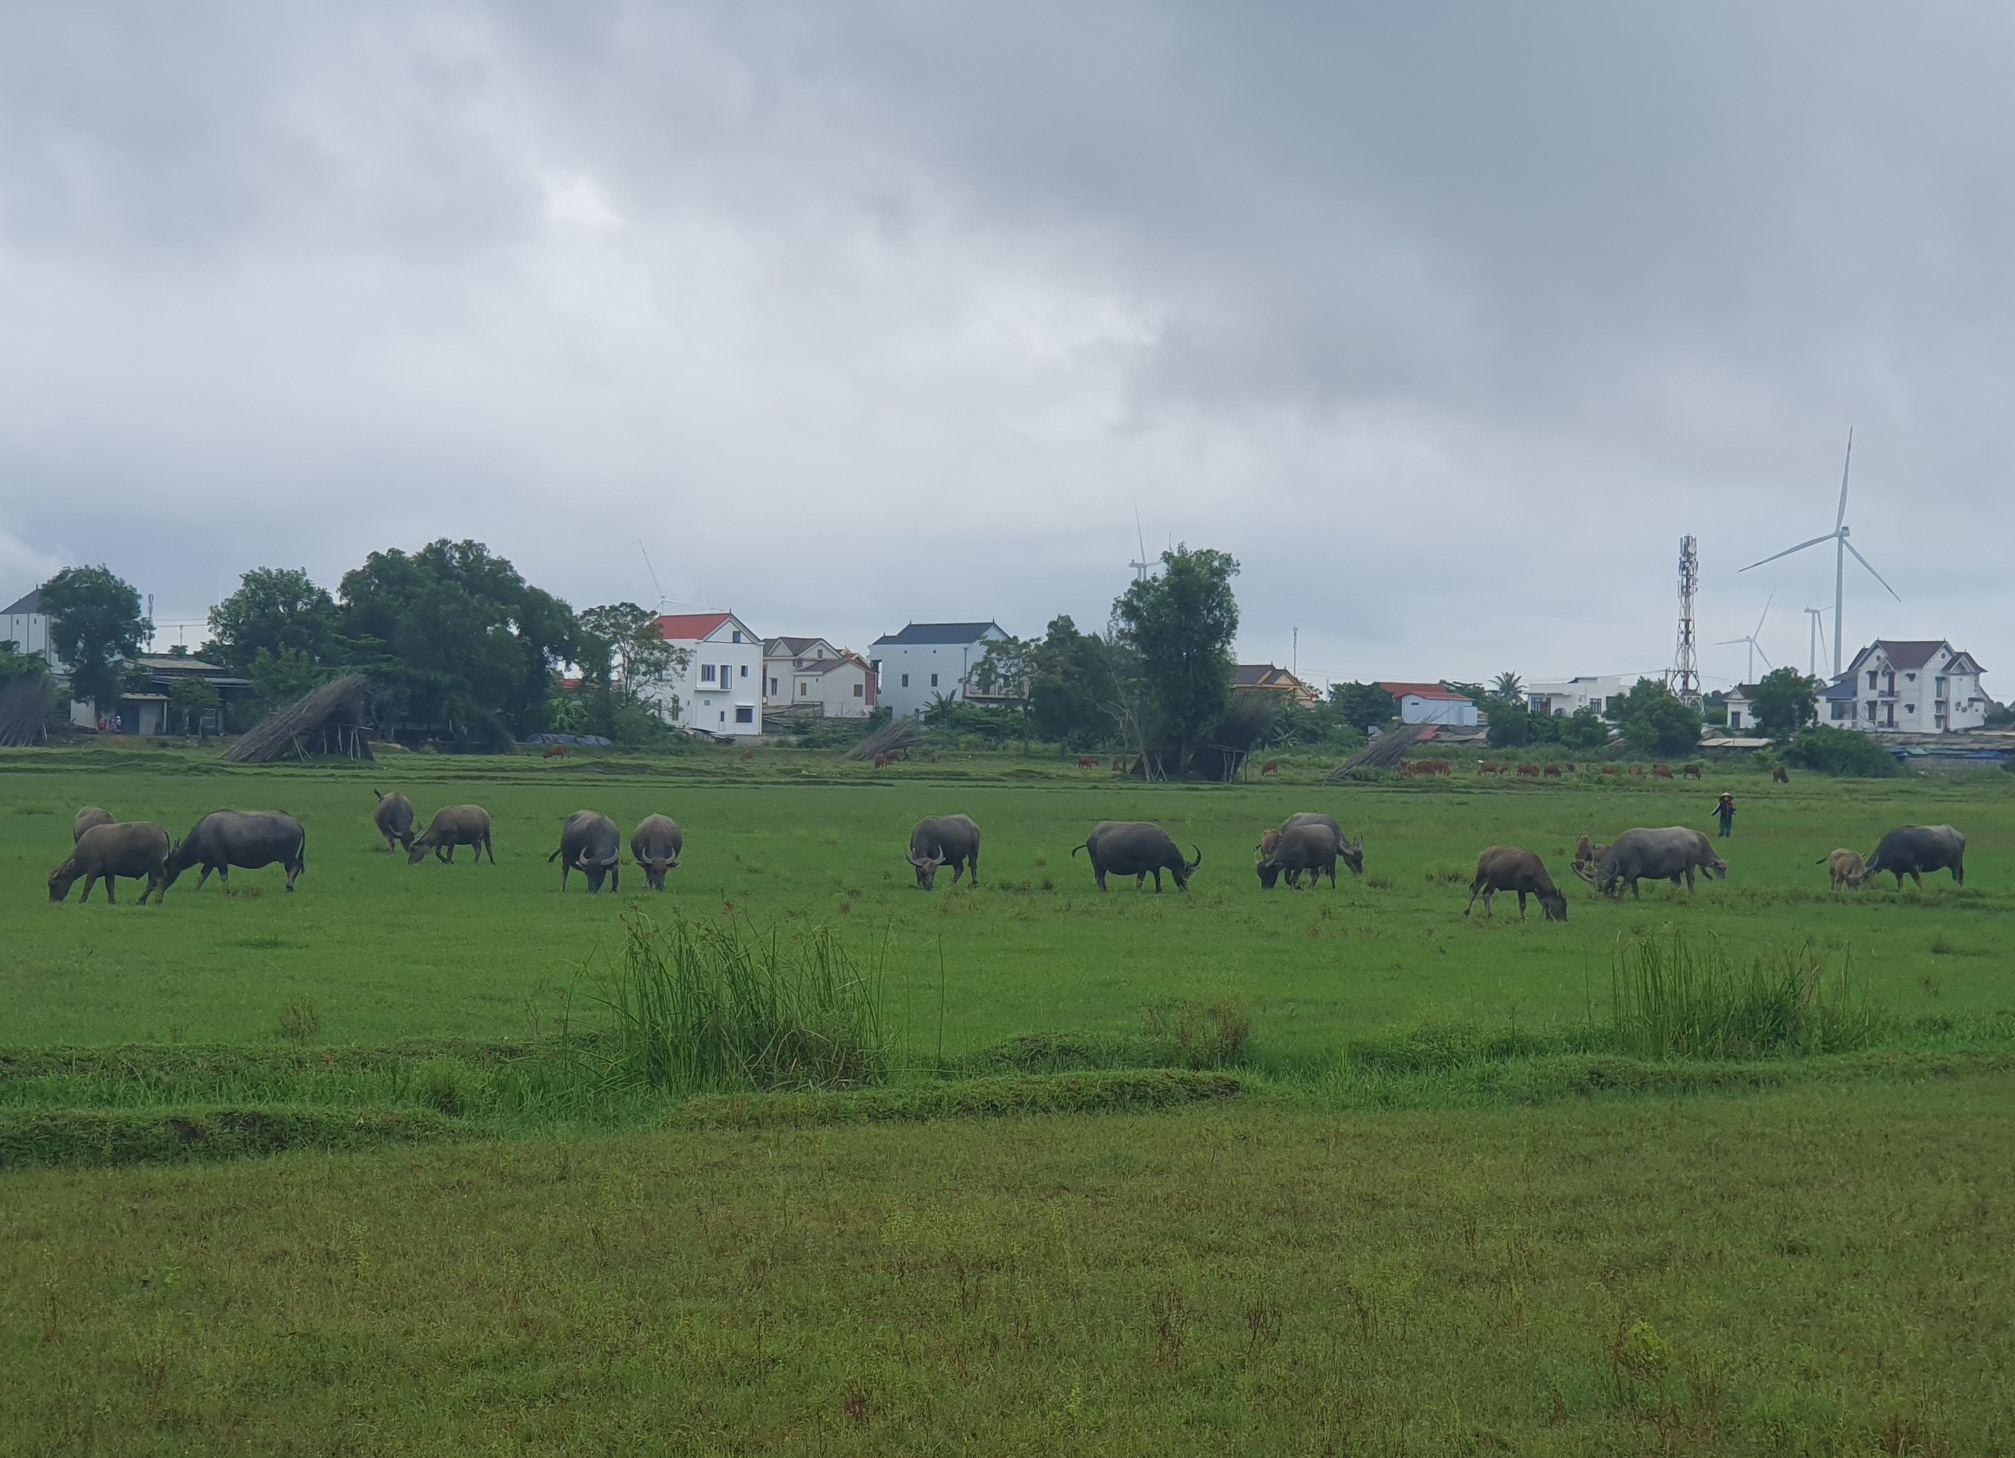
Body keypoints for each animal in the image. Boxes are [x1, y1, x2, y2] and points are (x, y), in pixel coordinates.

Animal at [165, 809, 308, 890]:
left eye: (167, 865)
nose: (162, 884)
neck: (203, 833)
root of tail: (296, 822)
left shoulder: (220, 862)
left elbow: (224, 877)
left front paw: (227, 891)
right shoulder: (210, 863)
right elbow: (201, 877)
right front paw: (195, 889)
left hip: (287, 856)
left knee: (296, 865)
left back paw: (289, 886)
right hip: (286, 858)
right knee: (291, 869)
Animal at [1595, 821, 1724, 898]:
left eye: (1606, 884)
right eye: (1597, 884)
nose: (1601, 895)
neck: (1623, 851)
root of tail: (1693, 835)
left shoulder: (1631, 871)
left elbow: (1624, 886)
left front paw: (1618, 900)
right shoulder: (1633, 876)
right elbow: (1635, 887)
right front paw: (1637, 899)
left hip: (1689, 866)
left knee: (1690, 881)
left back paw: (1690, 895)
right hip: (1676, 870)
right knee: (1676, 883)